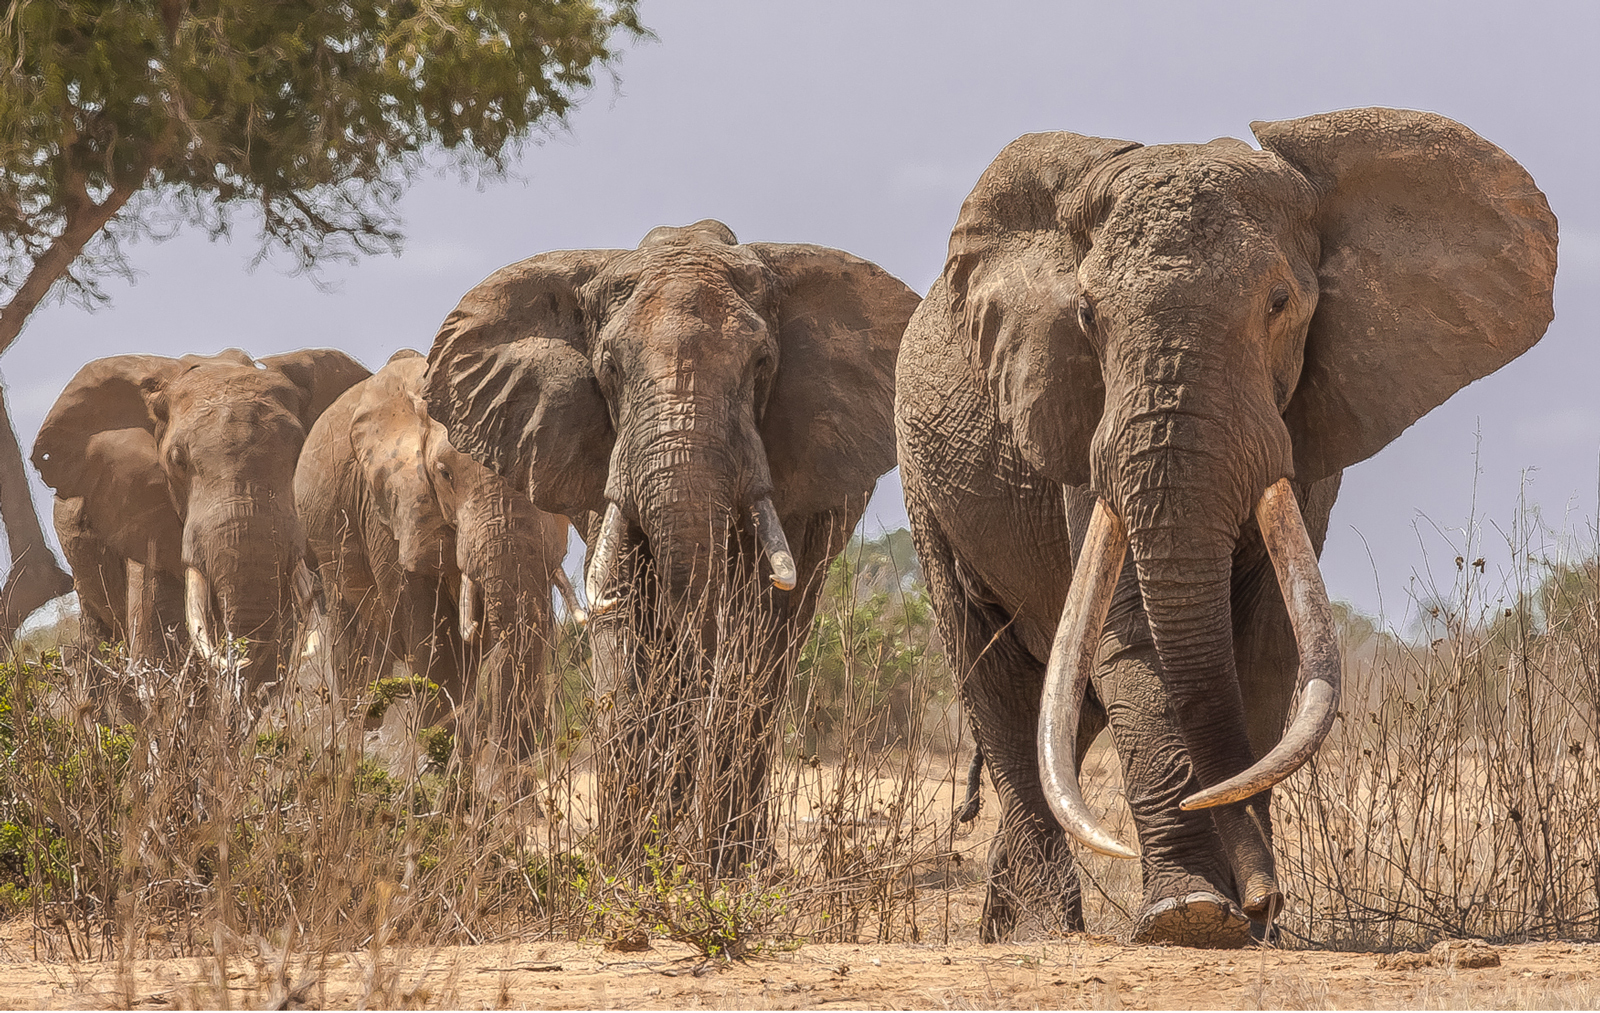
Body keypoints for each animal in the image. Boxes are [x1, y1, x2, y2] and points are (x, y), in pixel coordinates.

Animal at [896, 106, 1555, 947]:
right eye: (1086, 316)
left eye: (1279, 303)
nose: (1266, 897)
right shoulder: (1080, 425)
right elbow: (1132, 640)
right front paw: (1191, 917)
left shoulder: (1305, 426)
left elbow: (1272, 645)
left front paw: (1251, 918)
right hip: (926, 489)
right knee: (1001, 688)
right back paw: (1045, 931)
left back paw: (1010, 929)